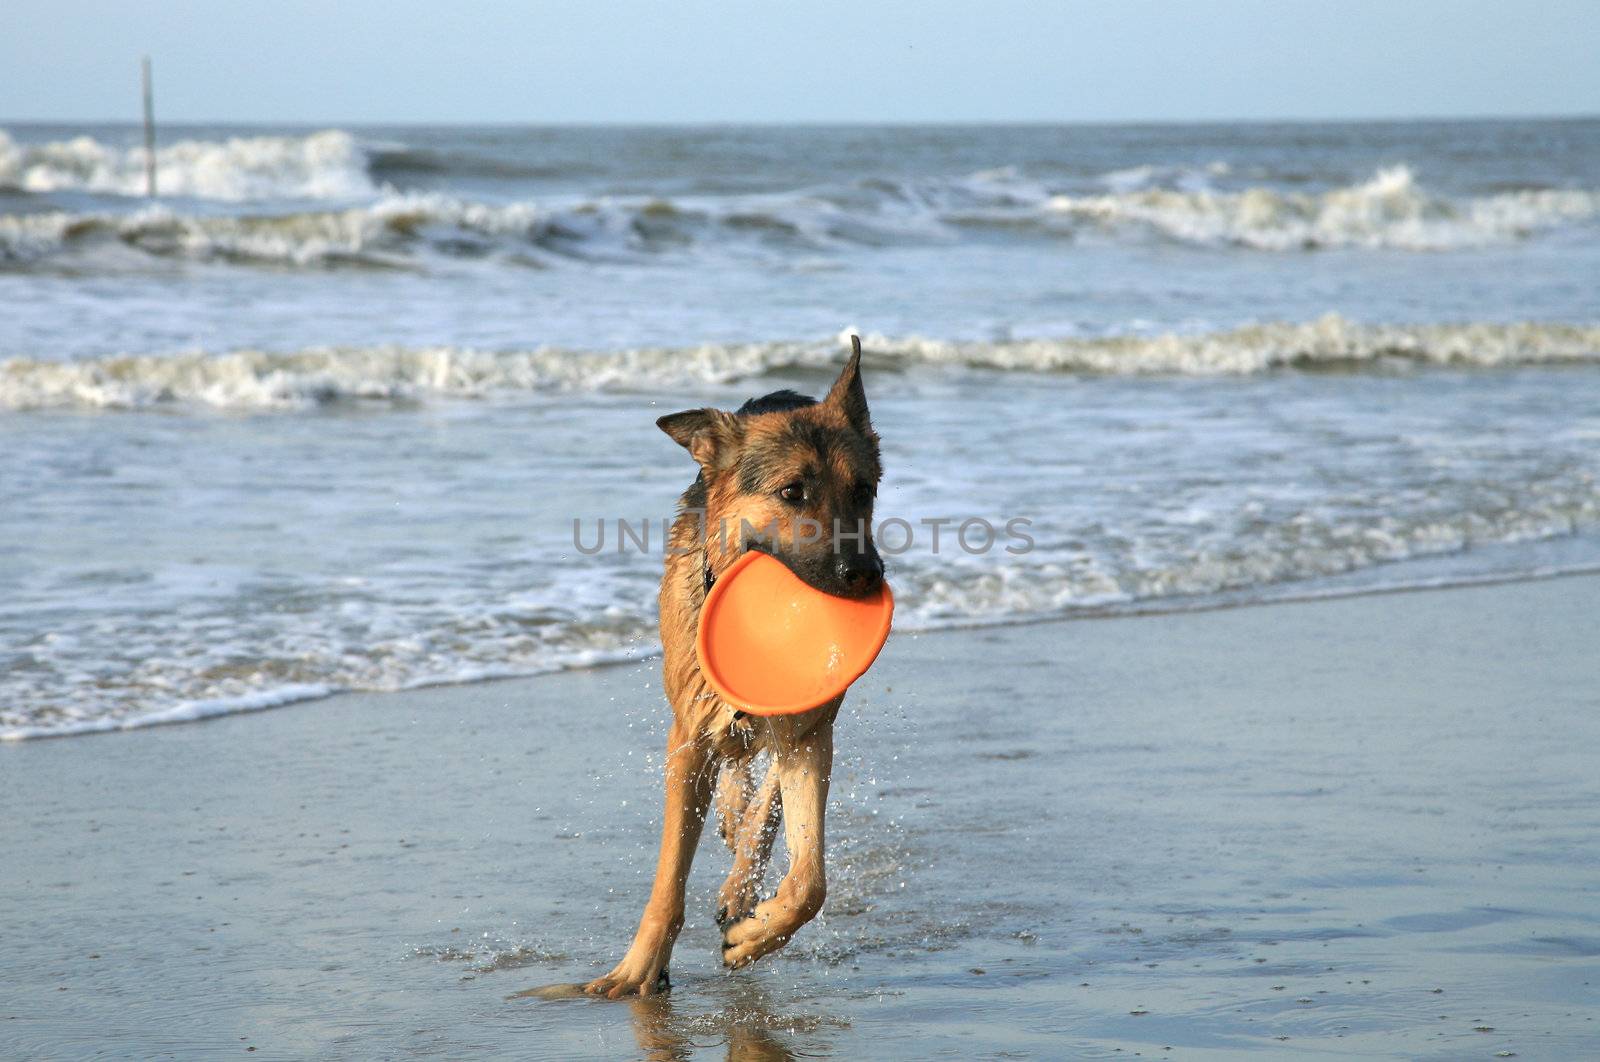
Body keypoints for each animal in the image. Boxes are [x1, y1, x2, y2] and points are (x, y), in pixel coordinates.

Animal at [585, 337, 889, 998]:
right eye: (793, 492)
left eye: (864, 491)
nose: (864, 576)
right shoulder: (687, 740)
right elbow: (669, 875)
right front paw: (638, 969)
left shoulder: (808, 731)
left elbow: (809, 879)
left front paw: (754, 932)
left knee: (767, 797)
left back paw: (742, 873)